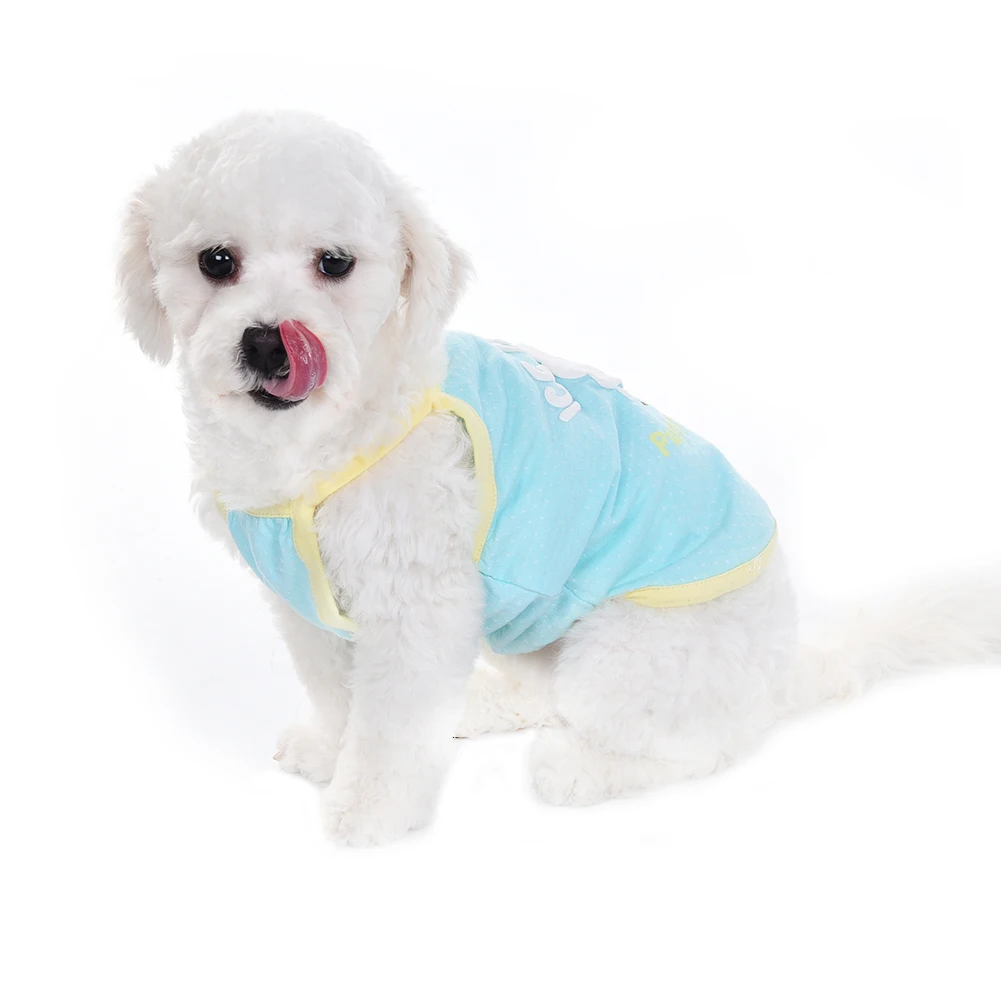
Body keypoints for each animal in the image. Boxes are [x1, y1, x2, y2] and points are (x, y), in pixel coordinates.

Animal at [118, 110, 1001, 846]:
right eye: (216, 262)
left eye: (334, 264)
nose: (270, 339)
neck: (314, 446)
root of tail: (785, 665)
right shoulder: (305, 606)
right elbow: (340, 696)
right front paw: (333, 751)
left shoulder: (416, 608)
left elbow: (392, 727)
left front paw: (371, 808)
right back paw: (484, 704)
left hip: (625, 651)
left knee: (703, 745)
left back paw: (578, 766)